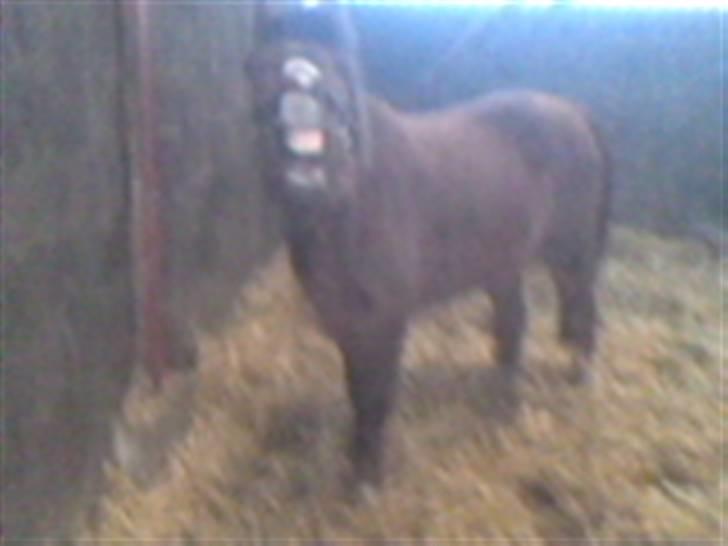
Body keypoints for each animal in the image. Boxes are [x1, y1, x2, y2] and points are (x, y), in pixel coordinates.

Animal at [245, 34, 612, 485]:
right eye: (261, 69)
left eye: (338, 71)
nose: (302, 85)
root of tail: (573, 110)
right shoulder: (344, 318)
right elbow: (356, 388)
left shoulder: (385, 319)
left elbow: (375, 395)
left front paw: (368, 475)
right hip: (503, 259)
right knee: (514, 321)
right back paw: (501, 386)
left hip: (571, 251)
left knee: (582, 308)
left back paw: (578, 375)